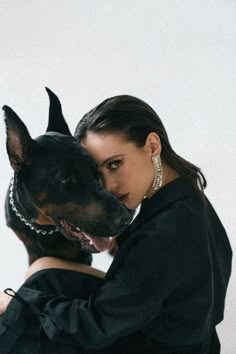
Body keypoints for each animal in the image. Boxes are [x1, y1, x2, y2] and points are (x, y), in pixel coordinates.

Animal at [3, 88, 133, 266]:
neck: (42, 228)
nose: (124, 219)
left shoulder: (81, 257)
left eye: (96, 171)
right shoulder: (32, 249)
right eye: (66, 179)